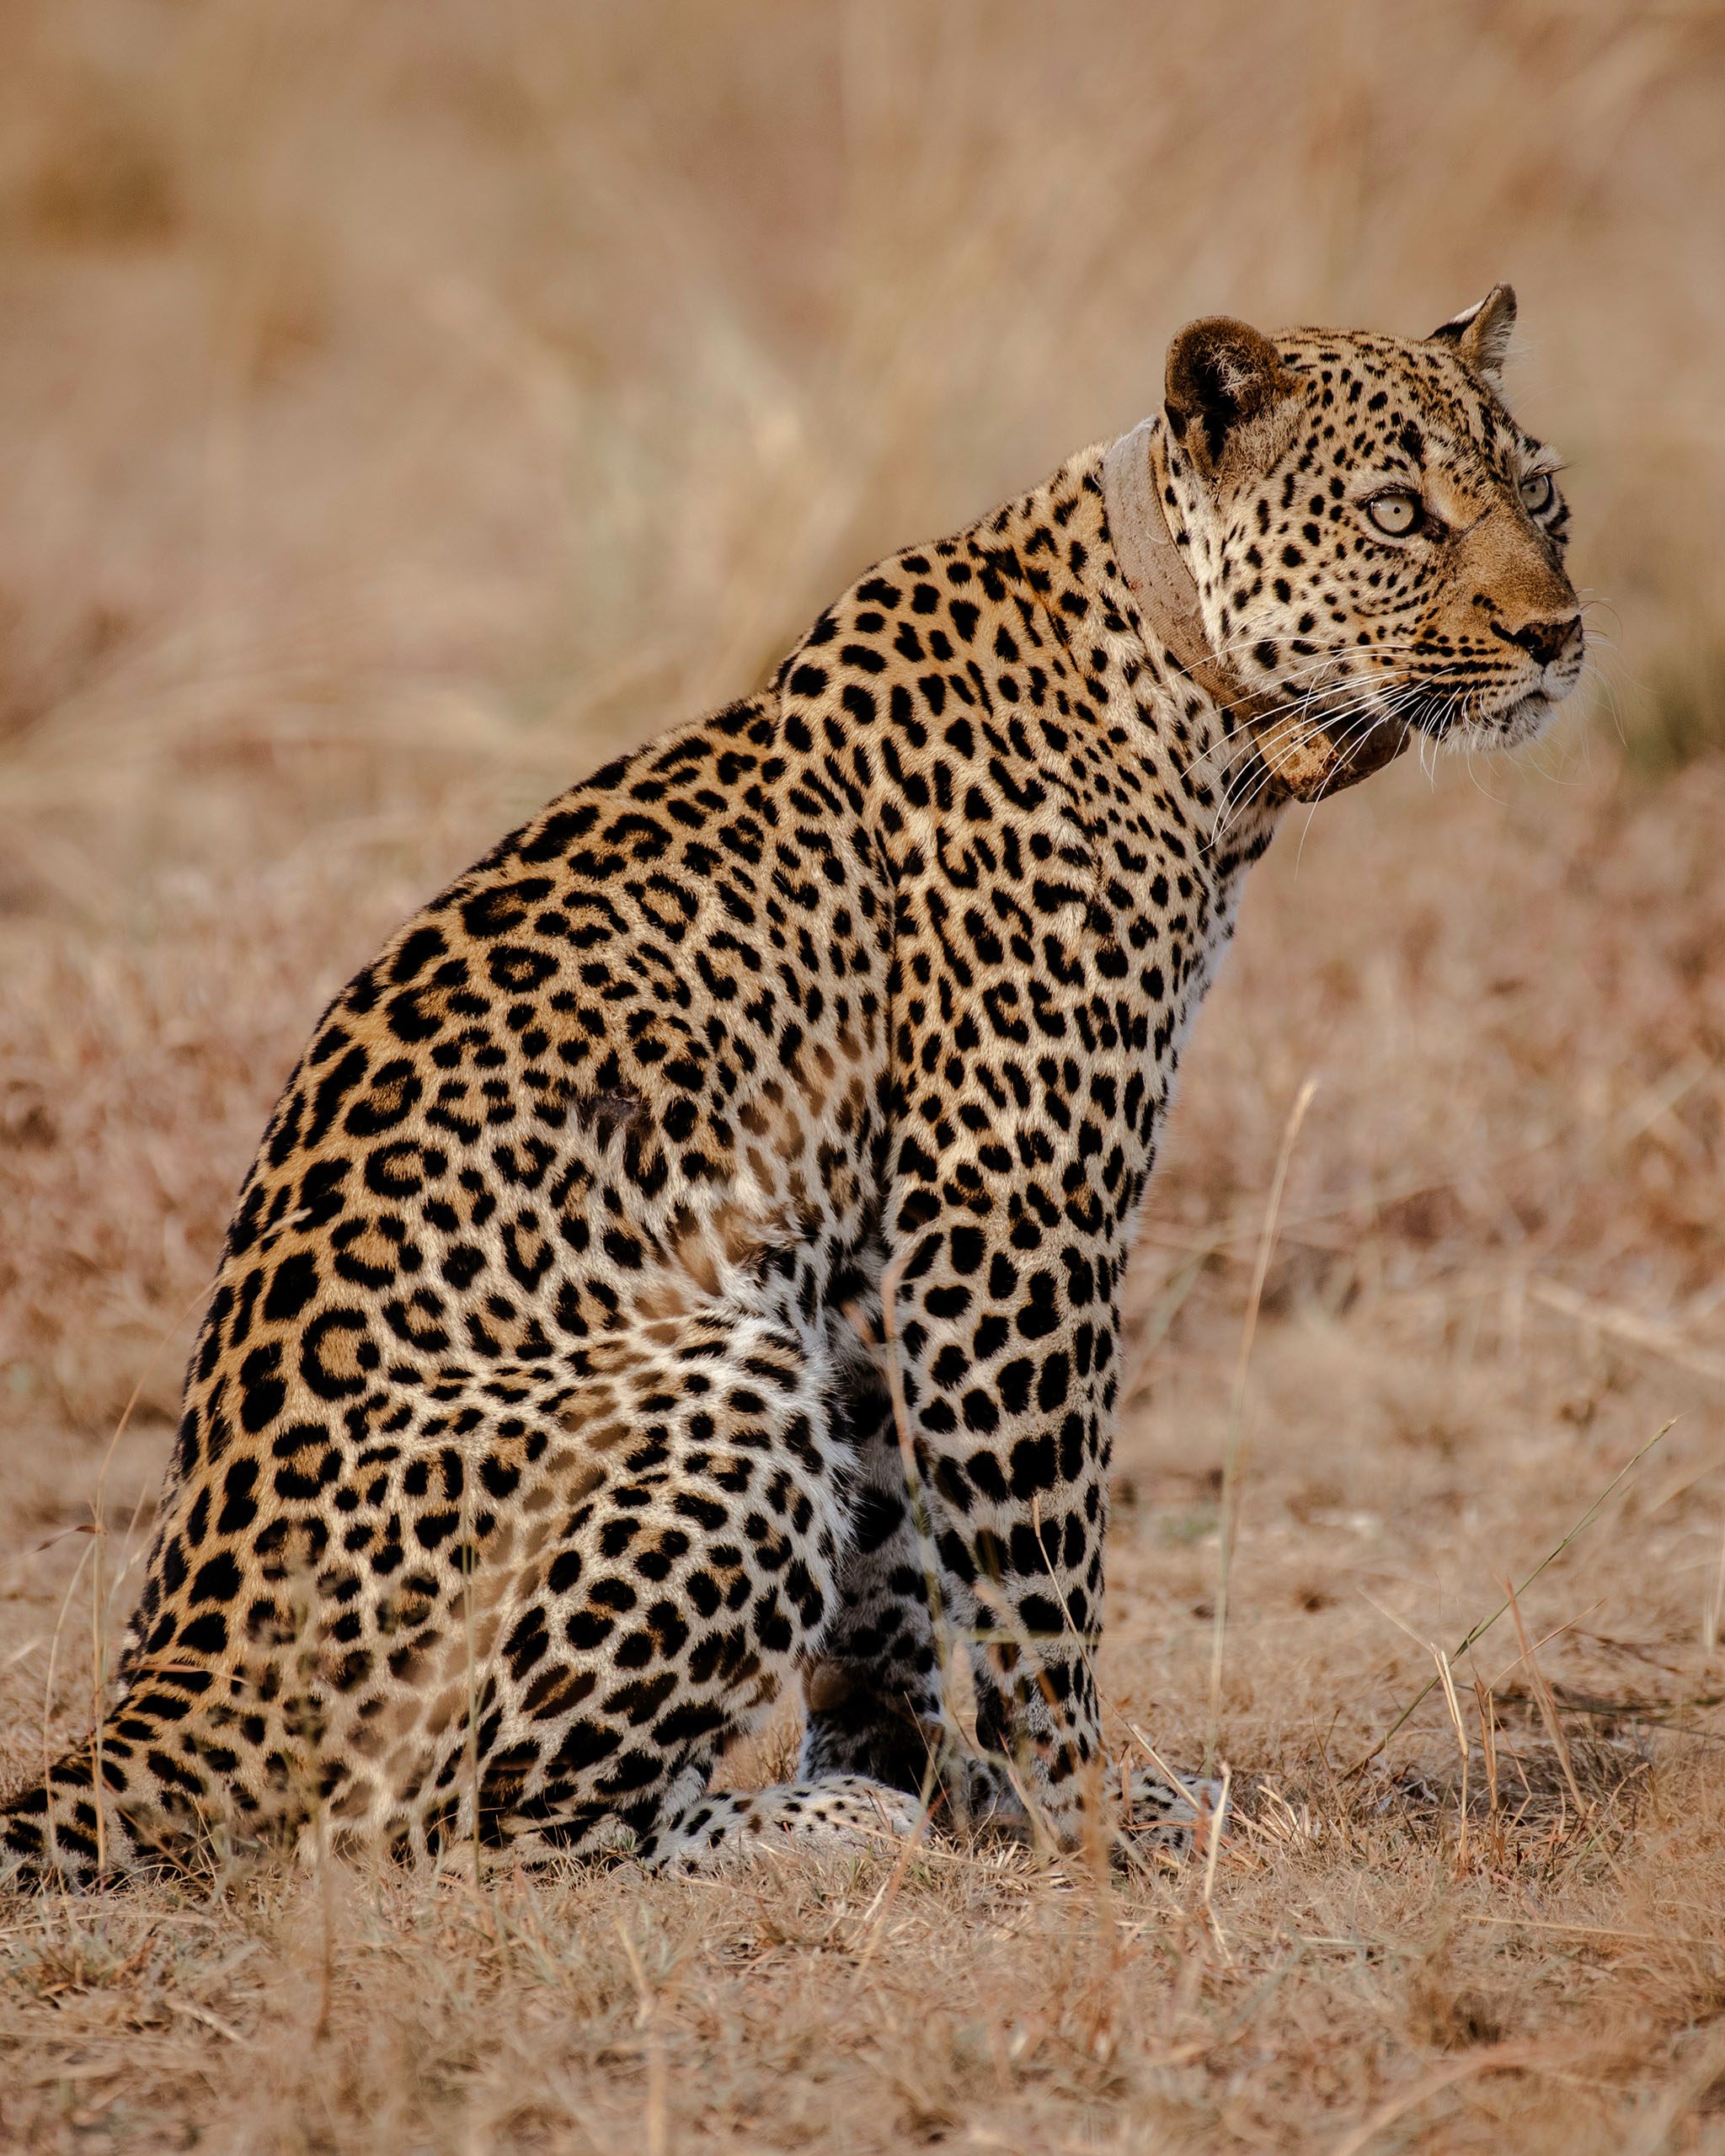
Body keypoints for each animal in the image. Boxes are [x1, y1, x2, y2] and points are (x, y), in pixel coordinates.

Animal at [2, 284, 1581, 1886]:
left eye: (1538, 494)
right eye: (1397, 513)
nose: (1558, 634)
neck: (1202, 715)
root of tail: (179, 1683)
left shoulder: (874, 1273)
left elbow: (890, 1577)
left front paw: (951, 1783)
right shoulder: (1012, 1220)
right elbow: (1039, 1565)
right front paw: (1077, 1807)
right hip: (717, 1381)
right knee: (455, 1825)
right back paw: (806, 1828)